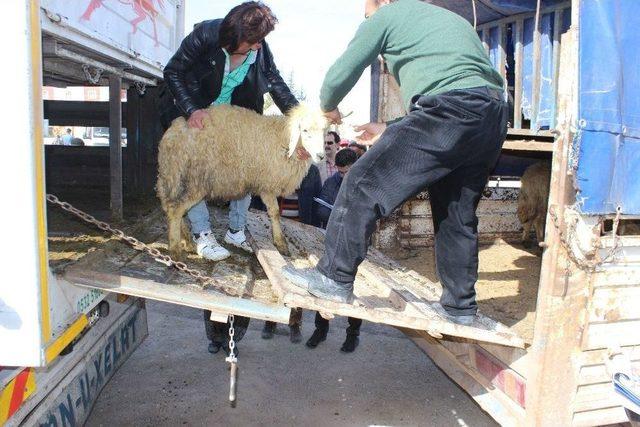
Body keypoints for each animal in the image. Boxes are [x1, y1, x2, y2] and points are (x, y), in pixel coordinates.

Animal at [154, 103, 324, 258]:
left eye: (324, 130)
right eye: (305, 130)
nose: (321, 156)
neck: (285, 140)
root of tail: (172, 133)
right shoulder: (267, 185)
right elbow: (275, 213)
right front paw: (280, 243)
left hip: (174, 177)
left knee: (171, 206)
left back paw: (187, 241)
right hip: (196, 179)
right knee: (175, 209)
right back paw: (175, 248)